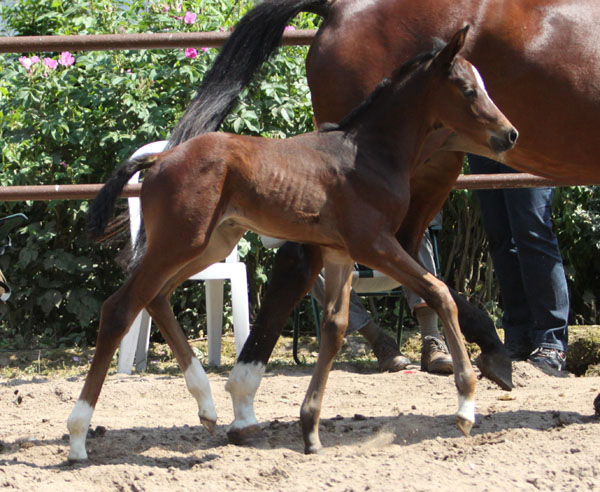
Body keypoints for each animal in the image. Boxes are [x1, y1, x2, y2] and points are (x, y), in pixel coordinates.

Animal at [64, 26, 516, 458]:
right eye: (469, 89)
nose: (509, 134)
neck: (368, 154)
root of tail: (160, 158)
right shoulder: (373, 243)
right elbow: (440, 292)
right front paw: (466, 407)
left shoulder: (339, 253)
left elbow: (334, 327)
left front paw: (310, 430)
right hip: (179, 242)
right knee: (120, 308)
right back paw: (78, 436)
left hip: (210, 243)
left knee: (155, 298)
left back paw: (207, 406)